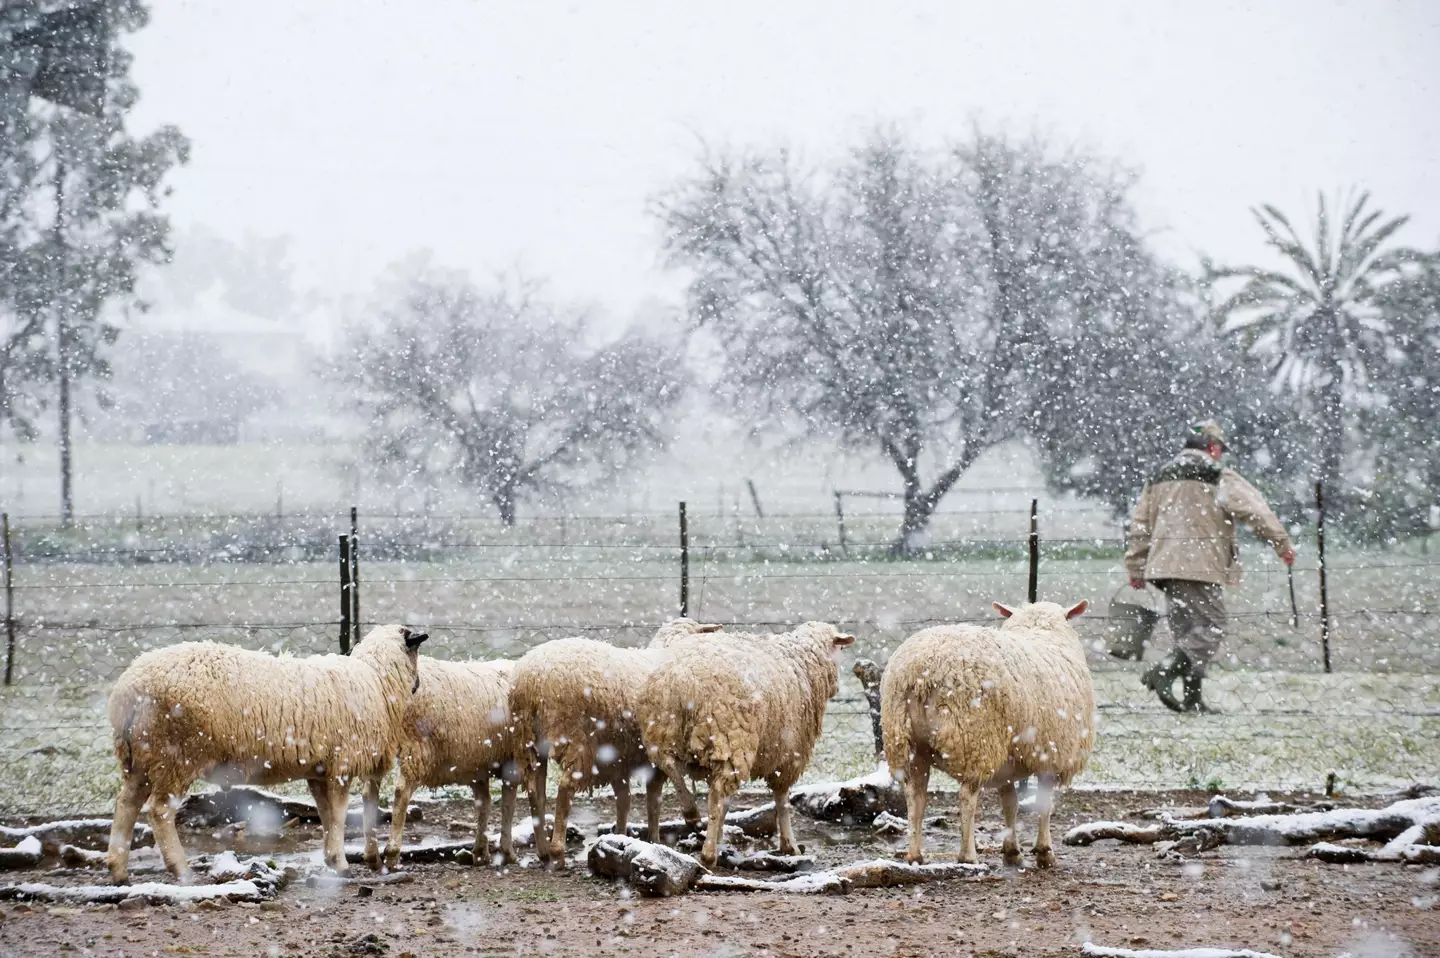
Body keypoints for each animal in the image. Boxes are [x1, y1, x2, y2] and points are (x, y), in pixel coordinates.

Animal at [104, 619, 423, 881]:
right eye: (416, 652)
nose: (418, 686)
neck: (377, 680)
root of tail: (127, 691)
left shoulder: (318, 771)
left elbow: (326, 814)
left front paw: (331, 860)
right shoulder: (341, 764)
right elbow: (340, 814)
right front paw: (341, 863)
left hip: (142, 758)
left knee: (127, 804)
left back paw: (118, 871)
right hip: (176, 755)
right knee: (159, 812)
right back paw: (180, 869)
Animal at [380, 656, 521, 864]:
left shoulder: (477, 767)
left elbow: (484, 804)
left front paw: (480, 852)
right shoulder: (513, 762)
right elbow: (508, 806)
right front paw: (507, 852)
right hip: (418, 749)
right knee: (401, 793)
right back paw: (392, 852)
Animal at [512, 616, 725, 864]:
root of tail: (531, 682)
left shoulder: (620, 760)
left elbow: (626, 801)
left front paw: (621, 839)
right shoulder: (654, 755)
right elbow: (654, 800)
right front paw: (661, 836)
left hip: (529, 744)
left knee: (535, 794)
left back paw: (544, 851)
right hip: (576, 740)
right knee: (564, 790)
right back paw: (557, 852)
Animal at [633, 619, 852, 864]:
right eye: (839, 648)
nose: (838, 687)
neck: (804, 662)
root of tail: (681, 678)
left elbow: (727, 806)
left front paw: (720, 836)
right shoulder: (790, 754)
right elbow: (782, 800)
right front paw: (789, 845)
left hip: (661, 731)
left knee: (668, 766)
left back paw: (691, 813)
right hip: (731, 739)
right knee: (716, 795)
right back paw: (708, 853)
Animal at [875, 602, 1088, 870]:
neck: (1041, 631)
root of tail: (919, 673)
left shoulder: (1008, 759)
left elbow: (1010, 803)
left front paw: (1012, 852)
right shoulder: (1052, 753)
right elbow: (1044, 804)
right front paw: (1044, 853)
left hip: (907, 743)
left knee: (916, 798)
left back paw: (915, 856)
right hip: (975, 740)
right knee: (967, 797)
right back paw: (968, 856)